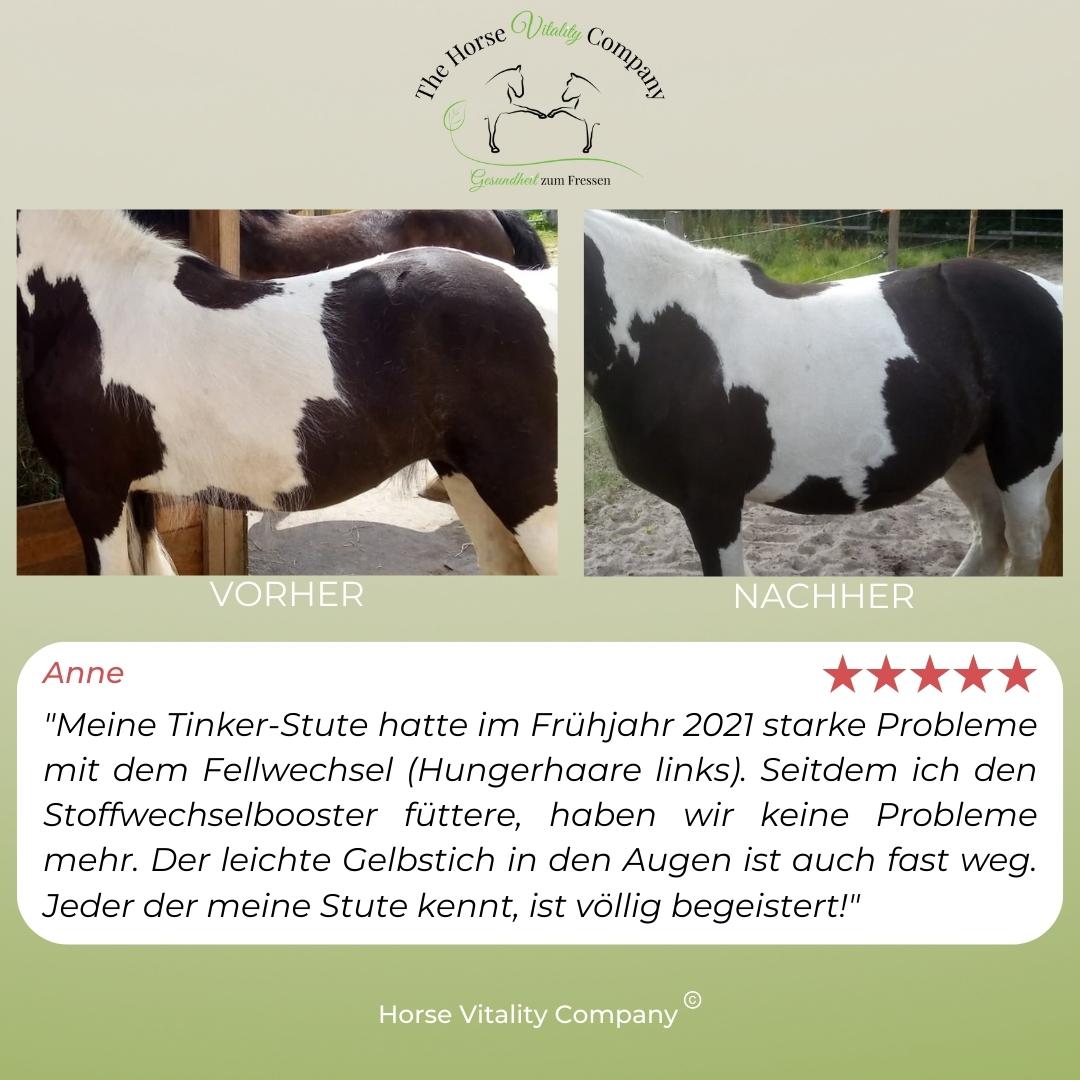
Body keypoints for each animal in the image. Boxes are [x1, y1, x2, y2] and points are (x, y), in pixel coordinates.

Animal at [584, 210, 1062, 577]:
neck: (673, 337)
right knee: (991, 538)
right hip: (971, 456)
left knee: (1022, 545)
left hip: (1022, 464)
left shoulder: (712, 505)